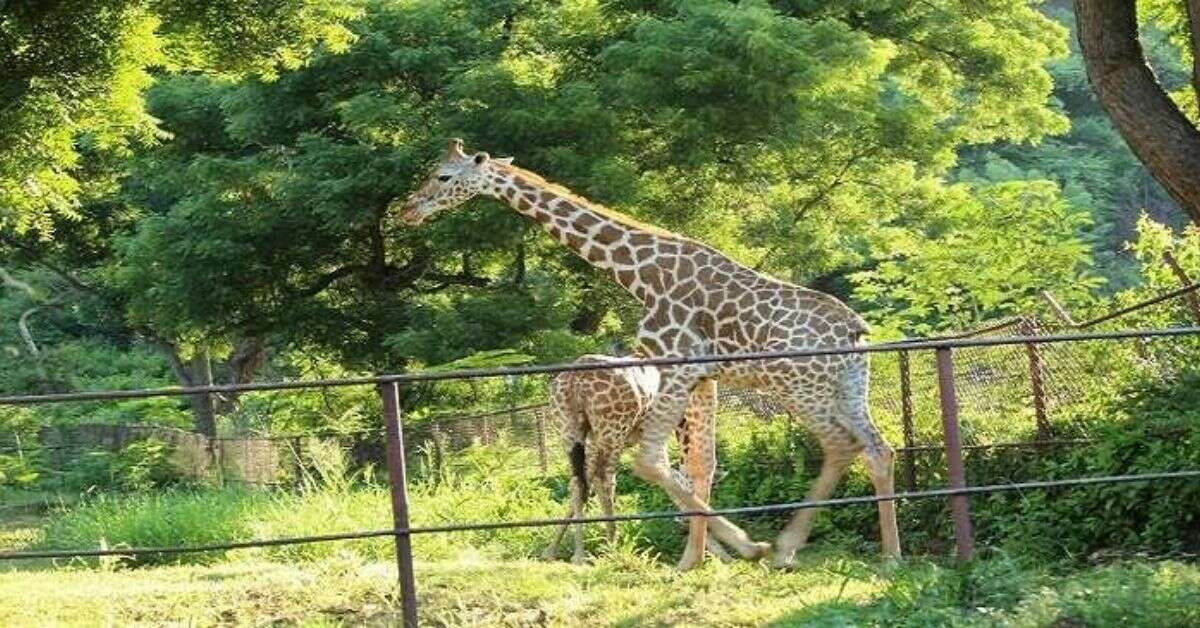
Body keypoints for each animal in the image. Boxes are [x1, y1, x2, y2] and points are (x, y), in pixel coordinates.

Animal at [542, 353, 729, 564]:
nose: (680, 523)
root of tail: (575, 379)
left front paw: (552, 550)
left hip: (571, 431)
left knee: (579, 482)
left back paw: (577, 553)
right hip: (612, 431)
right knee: (605, 479)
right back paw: (611, 545)